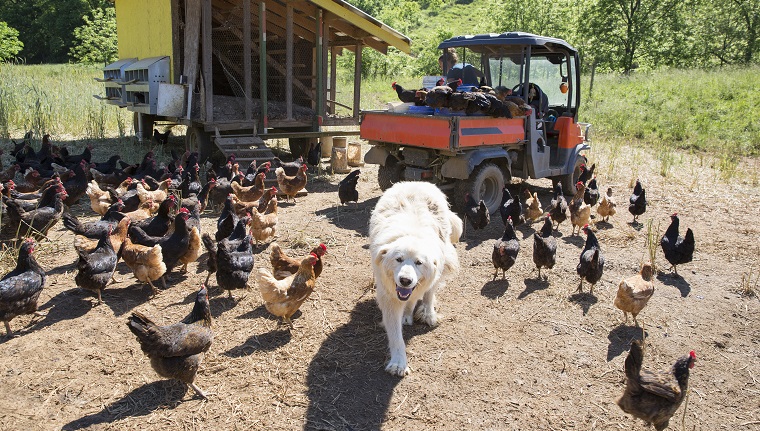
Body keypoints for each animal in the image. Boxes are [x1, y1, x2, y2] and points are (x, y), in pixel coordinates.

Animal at [370, 181, 464, 376]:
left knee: (427, 294)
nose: (405, 280)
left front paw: (419, 313)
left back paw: (427, 314)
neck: (412, 234)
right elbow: (396, 336)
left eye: (419, 263)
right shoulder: (389, 297)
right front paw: (399, 363)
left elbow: (421, 295)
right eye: (398, 259)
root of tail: (416, 182)